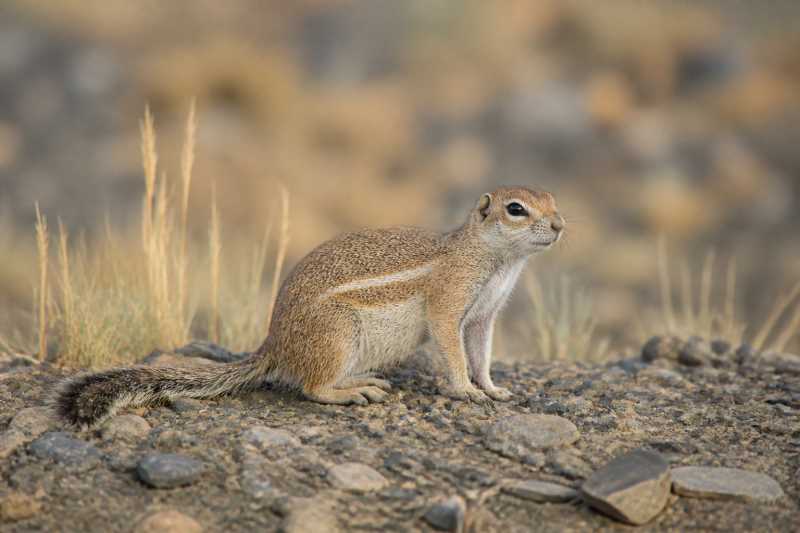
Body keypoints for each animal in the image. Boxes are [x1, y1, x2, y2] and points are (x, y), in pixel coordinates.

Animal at [57, 186, 564, 426]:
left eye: (553, 200)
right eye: (516, 209)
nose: (560, 225)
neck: (496, 259)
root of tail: (275, 343)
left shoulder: (483, 317)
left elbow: (481, 355)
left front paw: (493, 389)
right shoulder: (448, 303)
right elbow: (454, 352)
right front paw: (465, 391)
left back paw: (364, 382)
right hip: (338, 335)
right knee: (313, 387)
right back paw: (350, 393)